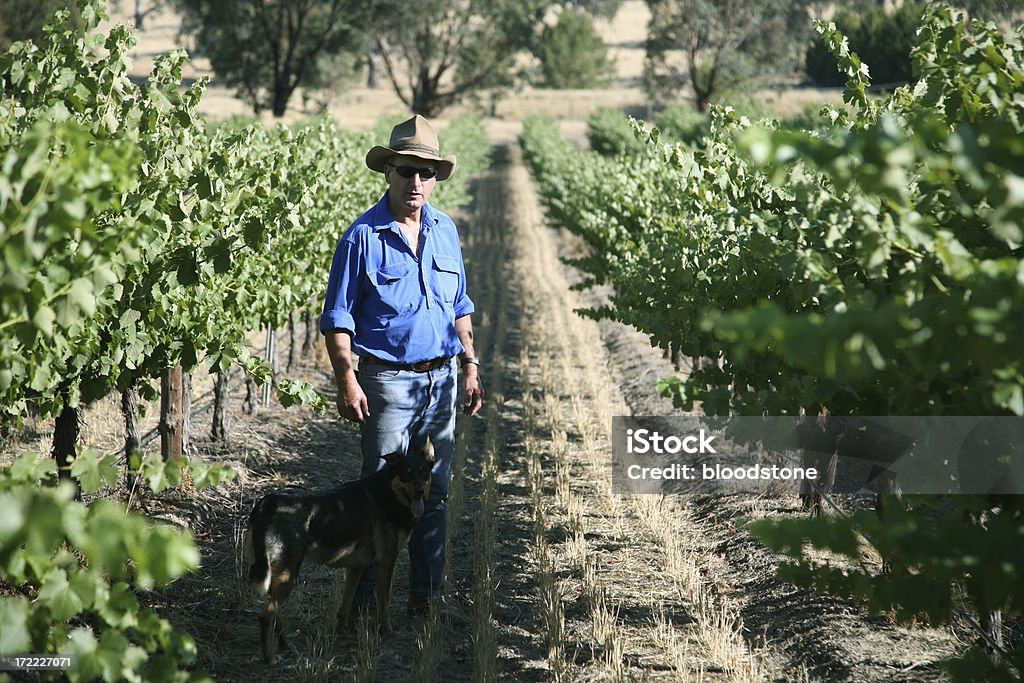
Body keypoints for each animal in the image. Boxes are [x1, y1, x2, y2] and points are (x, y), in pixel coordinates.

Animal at [245, 440, 434, 663]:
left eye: (424, 473)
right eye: (406, 473)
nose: (420, 491)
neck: (389, 492)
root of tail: (266, 505)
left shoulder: (357, 567)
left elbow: (346, 601)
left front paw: (343, 628)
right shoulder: (386, 563)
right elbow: (384, 605)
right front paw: (387, 630)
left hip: (278, 576)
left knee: (275, 615)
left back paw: (286, 645)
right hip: (288, 575)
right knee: (266, 616)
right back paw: (270, 657)